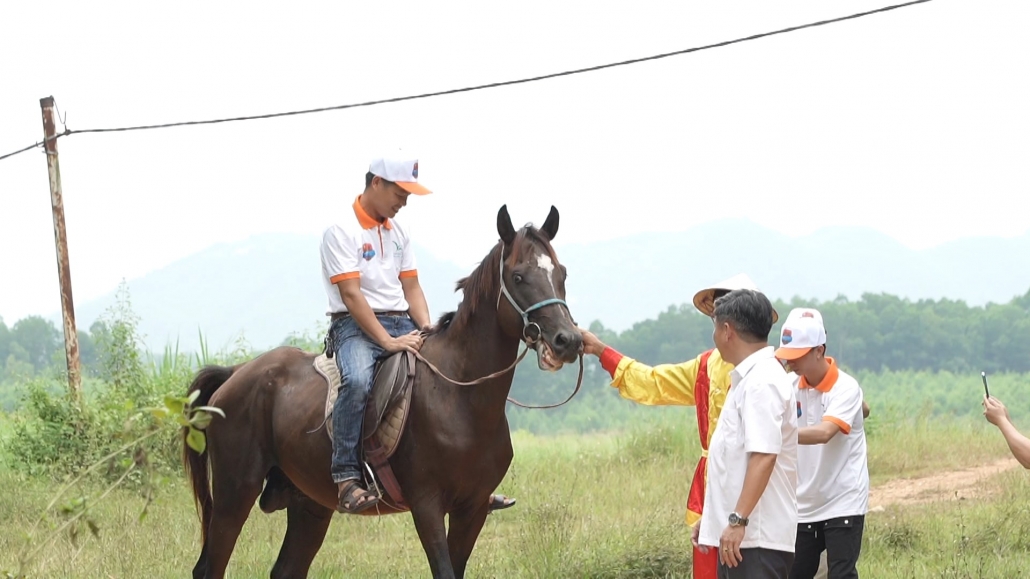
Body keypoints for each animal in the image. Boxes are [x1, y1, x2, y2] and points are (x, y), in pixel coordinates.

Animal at [178, 205, 580, 572]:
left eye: (562, 273)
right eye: (518, 276)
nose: (568, 340)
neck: (460, 398)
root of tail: (235, 374)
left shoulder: (474, 508)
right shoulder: (427, 505)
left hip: (309, 504)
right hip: (234, 494)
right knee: (209, 567)